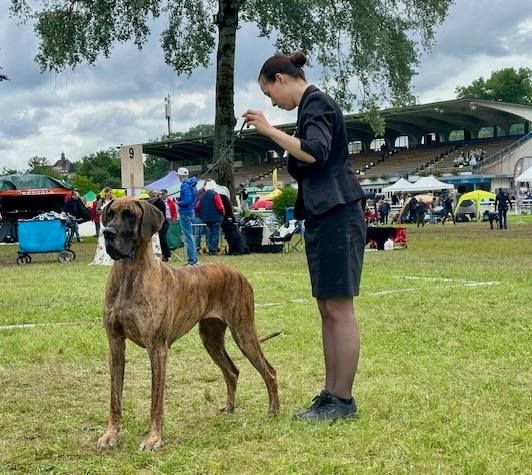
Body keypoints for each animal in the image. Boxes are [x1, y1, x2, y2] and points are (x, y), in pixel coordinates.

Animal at [96, 199, 278, 452]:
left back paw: (273, 410)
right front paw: (110, 435)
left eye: (130, 215)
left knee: (269, 371)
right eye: (110, 214)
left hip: (244, 333)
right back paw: (229, 407)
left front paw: (153, 438)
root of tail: (237, 272)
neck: (129, 273)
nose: (108, 233)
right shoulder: (115, 343)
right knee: (232, 370)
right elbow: (115, 397)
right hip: (211, 338)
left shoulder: (157, 348)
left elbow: (156, 401)